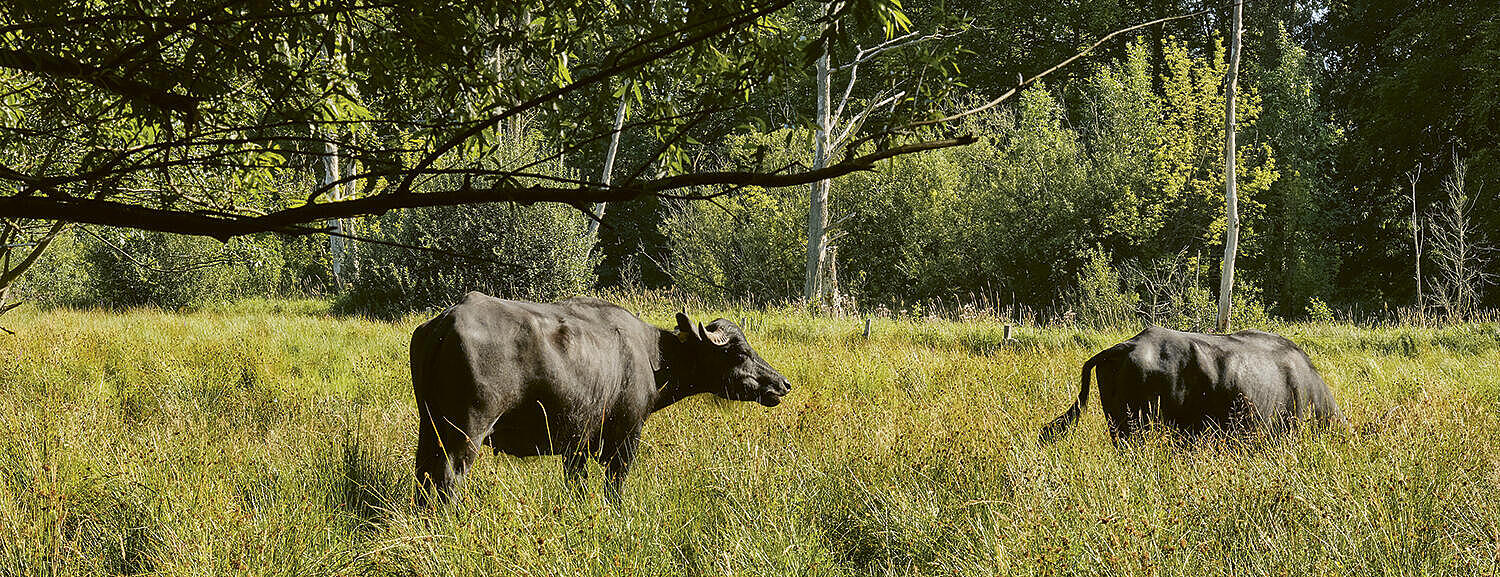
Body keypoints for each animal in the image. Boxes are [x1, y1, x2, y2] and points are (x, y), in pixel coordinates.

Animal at [405, 290, 792, 500]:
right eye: (739, 353)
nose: (782, 384)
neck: (651, 356)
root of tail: (445, 322)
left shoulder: (575, 447)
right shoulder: (625, 440)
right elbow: (614, 490)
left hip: (430, 430)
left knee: (423, 478)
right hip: (464, 434)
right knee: (448, 480)